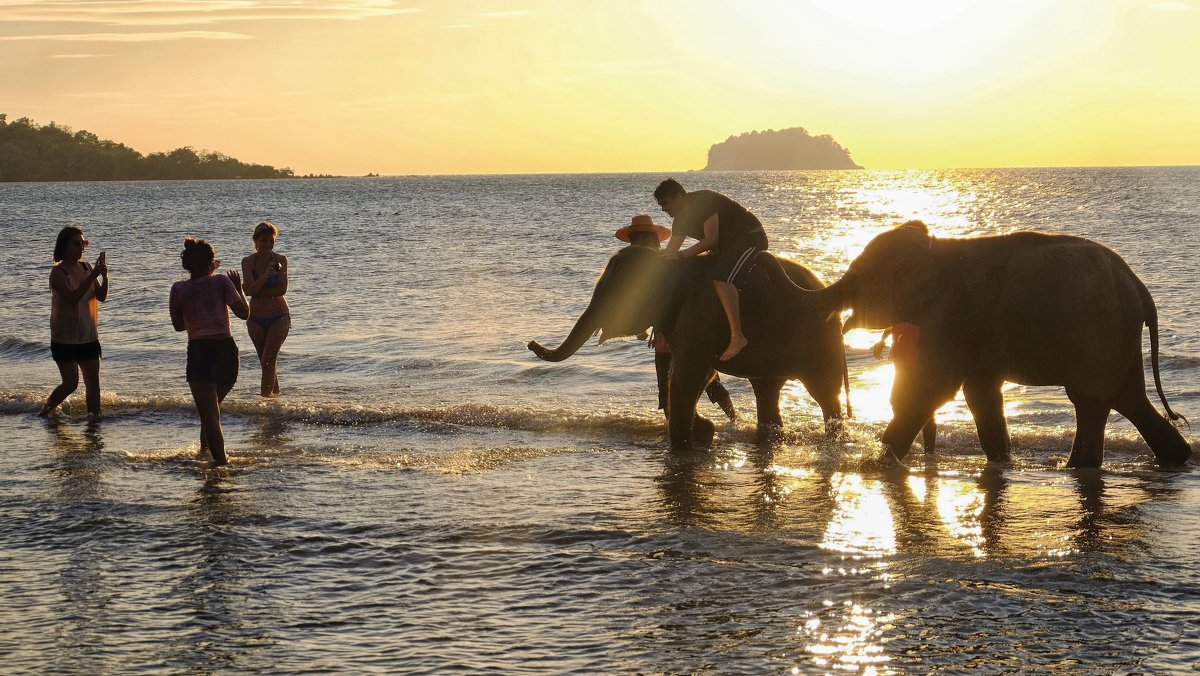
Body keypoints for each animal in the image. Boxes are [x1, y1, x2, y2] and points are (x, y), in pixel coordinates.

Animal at [530, 244, 849, 449]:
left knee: (824, 393)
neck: (669, 261)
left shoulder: (702, 314)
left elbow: (689, 374)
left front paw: (688, 440)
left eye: (618, 293)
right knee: (767, 390)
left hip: (820, 340)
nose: (531, 343)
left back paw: (834, 441)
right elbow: (693, 375)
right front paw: (705, 432)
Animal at [758, 222, 1190, 470]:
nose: (762, 253)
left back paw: (1079, 466)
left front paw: (878, 462)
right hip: (1116, 336)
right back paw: (1167, 460)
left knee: (1093, 400)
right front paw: (1000, 461)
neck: (933, 247)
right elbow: (979, 393)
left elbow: (932, 388)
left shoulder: (951, 314)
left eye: (859, 279)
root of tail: (1139, 288)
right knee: (1125, 398)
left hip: (1099, 332)